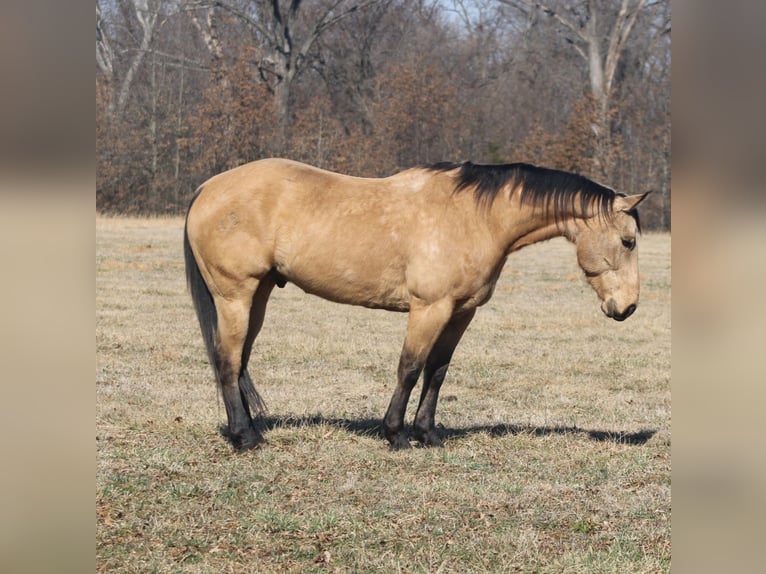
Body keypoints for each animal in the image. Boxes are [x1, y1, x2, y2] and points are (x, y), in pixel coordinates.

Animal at [183, 160, 652, 452]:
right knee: (227, 361)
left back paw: (250, 429)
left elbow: (437, 372)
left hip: (258, 295)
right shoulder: (429, 308)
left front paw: (427, 434)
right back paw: (245, 438)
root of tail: (208, 188)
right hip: (235, 296)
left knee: (239, 362)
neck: (476, 217)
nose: (628, 307)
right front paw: (396, 435)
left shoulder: (460, 312)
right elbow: (409, 368)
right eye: (628, 241)